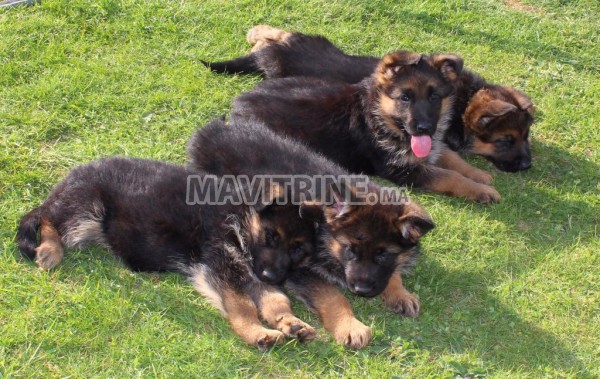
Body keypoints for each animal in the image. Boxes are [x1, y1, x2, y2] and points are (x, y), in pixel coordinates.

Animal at [15, 157, 314, 350]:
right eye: (271, 236)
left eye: (298, 249)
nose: (272, 275)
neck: (241, 214)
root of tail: (67, 180)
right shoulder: (220, 265)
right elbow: (243, 307)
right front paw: (257, 333)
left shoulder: (251, 274)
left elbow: (276, 301)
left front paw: (291, 322)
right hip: (87, 208)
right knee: (48, 218)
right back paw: (50, 249)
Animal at [185, 120, 434, 348]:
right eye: (350, 250)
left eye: (383, 254)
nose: (361, 291)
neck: (324, 230)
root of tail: (211, 131)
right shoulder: (302, 270)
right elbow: (333, 297)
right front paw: (349, 326)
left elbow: (390, 272)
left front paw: (399, 292)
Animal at [204, 26, 532, 174]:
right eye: (505, 140)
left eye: (526, 136)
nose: (528, 165)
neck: (464, 97)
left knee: (273, 37)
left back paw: (258, 33)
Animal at [227, 49, 504, 205]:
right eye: (405, 98)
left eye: (434, 97)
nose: (425, 127)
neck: (380, 114)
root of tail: (238, 103)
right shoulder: (402, 170)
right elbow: (448, 176)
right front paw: (482, 190)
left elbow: (450, 156)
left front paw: (478, 175)